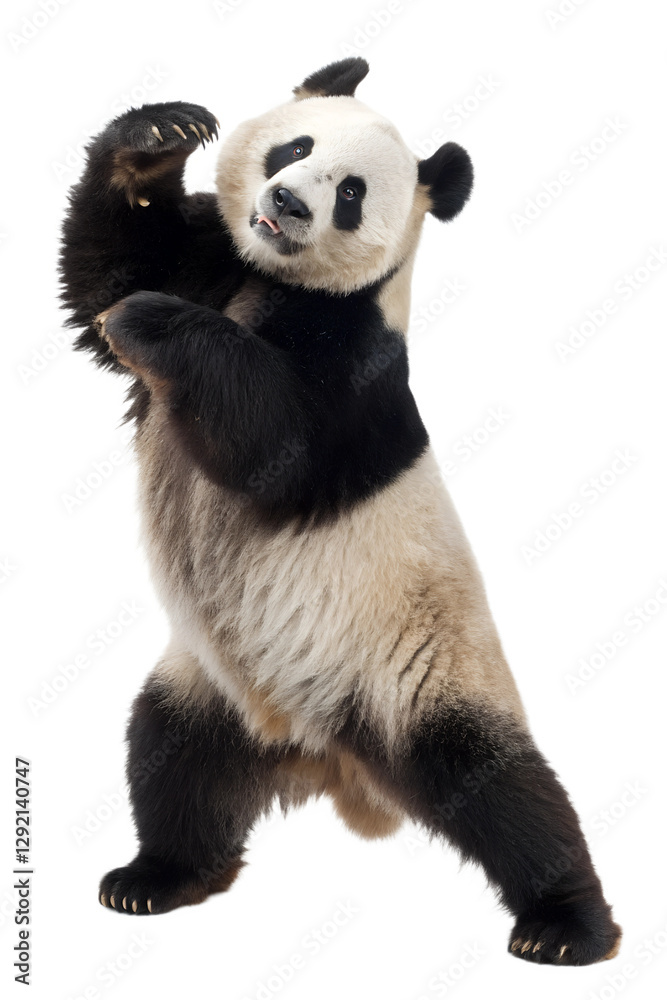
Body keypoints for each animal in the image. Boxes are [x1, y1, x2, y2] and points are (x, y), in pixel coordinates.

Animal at [60, 57, 621, 965]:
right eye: (296, 146)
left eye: (351, 193)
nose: (288, 202)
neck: (274, 282)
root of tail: (324, 758)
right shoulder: (212, 261)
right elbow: (102, 274)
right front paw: (161, 135)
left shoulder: (355, 370)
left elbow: (270, 437)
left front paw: (149, 319)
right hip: (208, 683)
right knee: (169, 759)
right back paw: (154, 878)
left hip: (419, 677)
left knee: (503, 790)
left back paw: (566, 926)